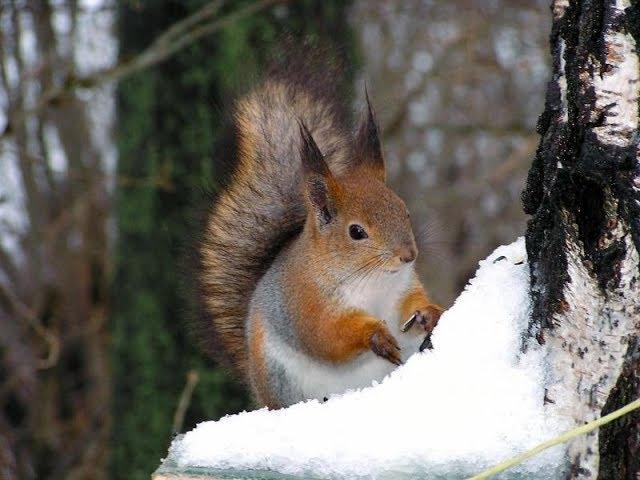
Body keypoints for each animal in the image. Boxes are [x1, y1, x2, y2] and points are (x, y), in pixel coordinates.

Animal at [198, 52, 442, 408]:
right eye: (356, 232)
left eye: (404, 210)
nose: (408, 256)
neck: (372, 281)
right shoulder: (304, 303)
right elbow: (328, 336)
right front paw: (376, 336)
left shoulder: (402, 289)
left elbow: (412, 302)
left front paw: (429, 313)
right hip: (284, 382)